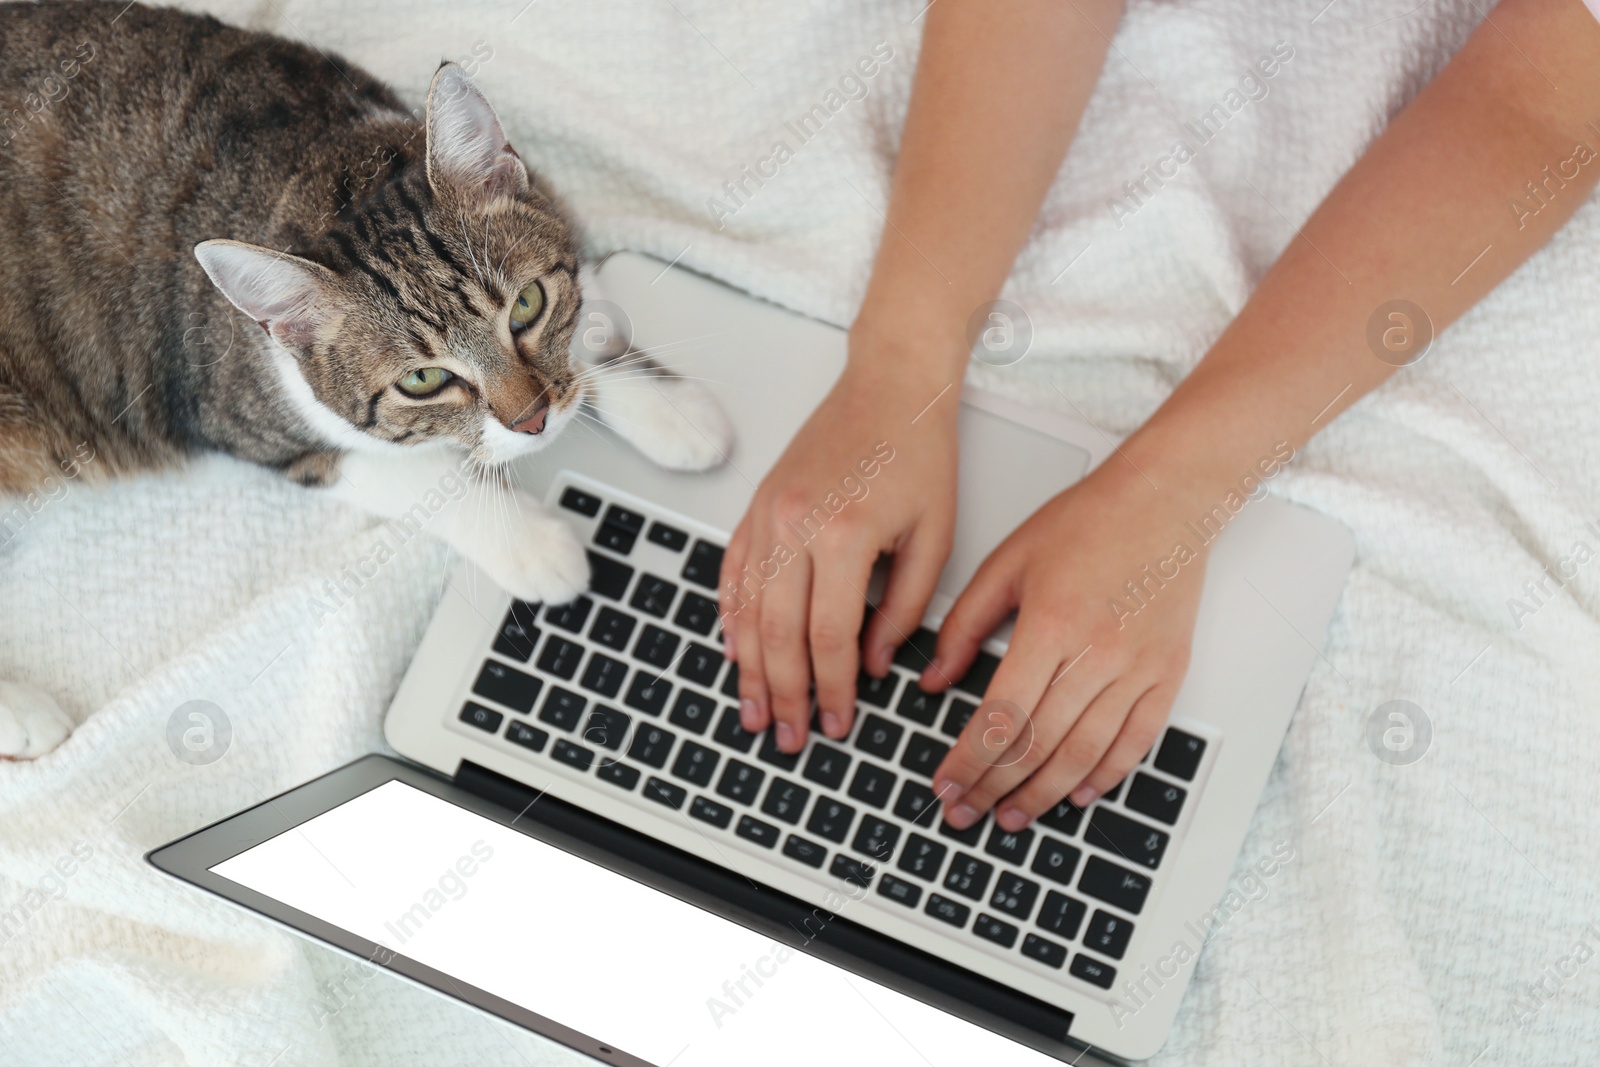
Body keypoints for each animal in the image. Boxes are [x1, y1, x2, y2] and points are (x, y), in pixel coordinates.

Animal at [0, 4, 732, 764]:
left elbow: (588, 320)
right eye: (424, 379)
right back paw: (24, 714)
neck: (320, 172)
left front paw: (671, 411)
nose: (534, 421)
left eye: (527, 306)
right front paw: (535, 545)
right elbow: (424, 477)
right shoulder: (263, 429)